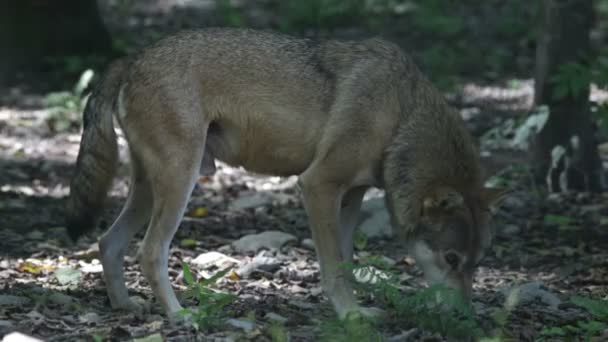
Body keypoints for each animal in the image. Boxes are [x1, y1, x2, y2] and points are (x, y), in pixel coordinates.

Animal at [64, 27, 506, 324]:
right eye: (451, 258)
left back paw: (125, 306)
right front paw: (350, 316)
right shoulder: (318, 185)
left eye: (476, 262)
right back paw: (179, 316)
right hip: (179, 183)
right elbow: (333, 266)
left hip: (150, 189)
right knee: (150, 251)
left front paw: (354, 310)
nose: (466, 317)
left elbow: (345, 260)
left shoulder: (351, 195)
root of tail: (132, 60)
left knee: (108, 242)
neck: (401, 115)